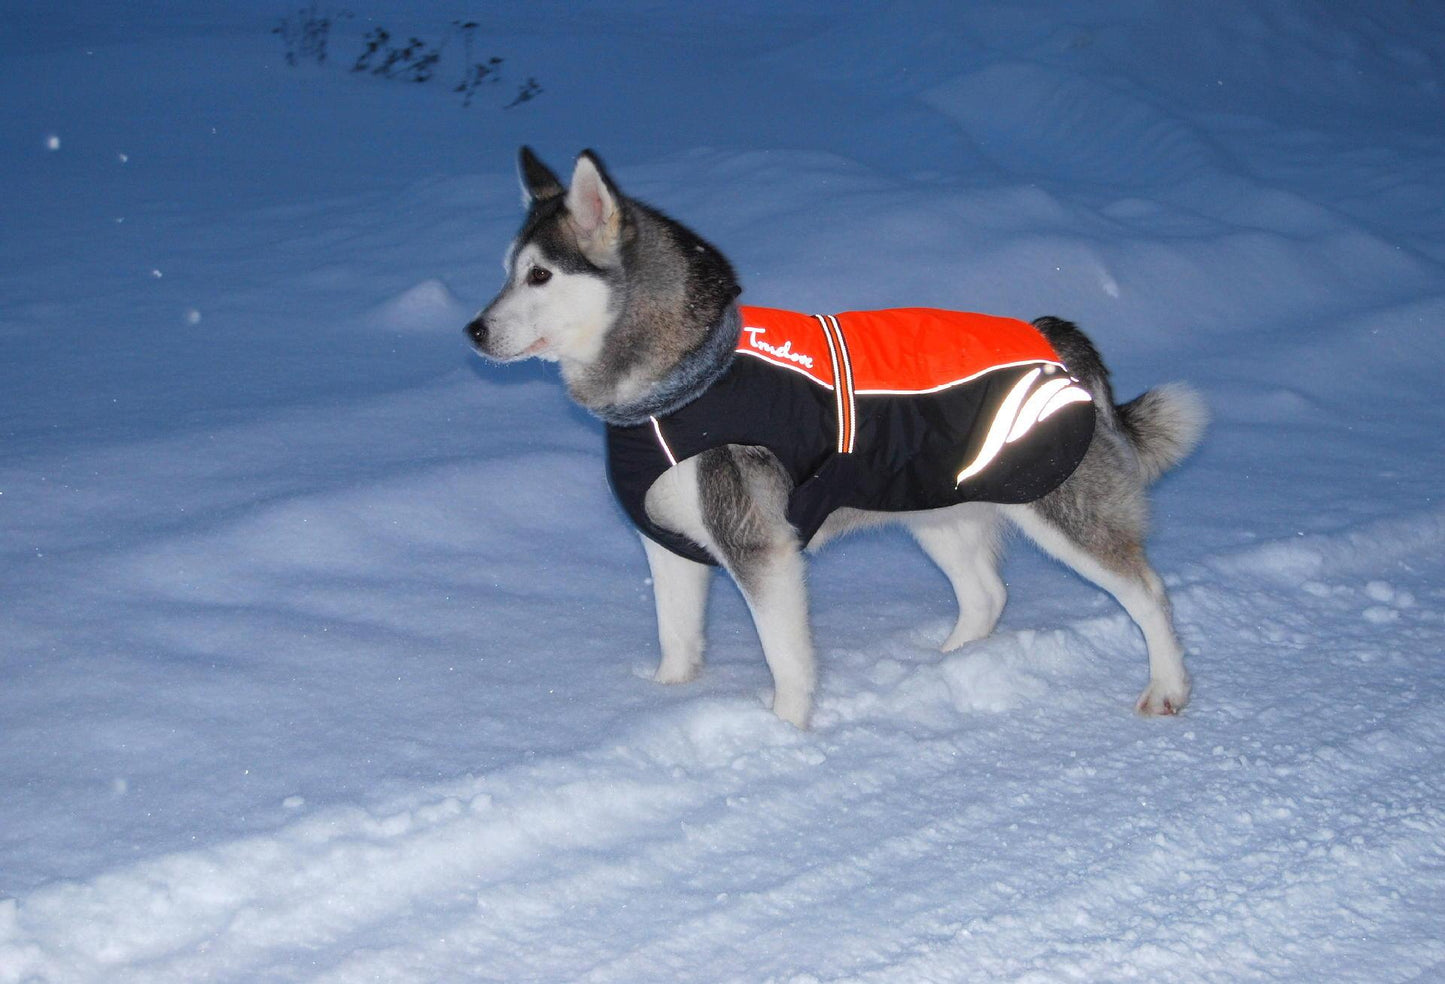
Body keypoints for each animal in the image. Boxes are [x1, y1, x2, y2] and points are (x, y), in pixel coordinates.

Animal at [468, 148, 1202, 728]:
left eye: (540, 275)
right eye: (506, 271)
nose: (472, 331)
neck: (681, 382)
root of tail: (1056, 336)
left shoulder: (760, 550)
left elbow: (786, 657)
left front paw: (784, 733)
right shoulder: (669, 544)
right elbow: (677, 641)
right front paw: (662, 701)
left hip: (1055, 507)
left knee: (1148, 591)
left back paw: (1166, 686)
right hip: (932, 505)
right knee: (987, 596)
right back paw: (948, 665)